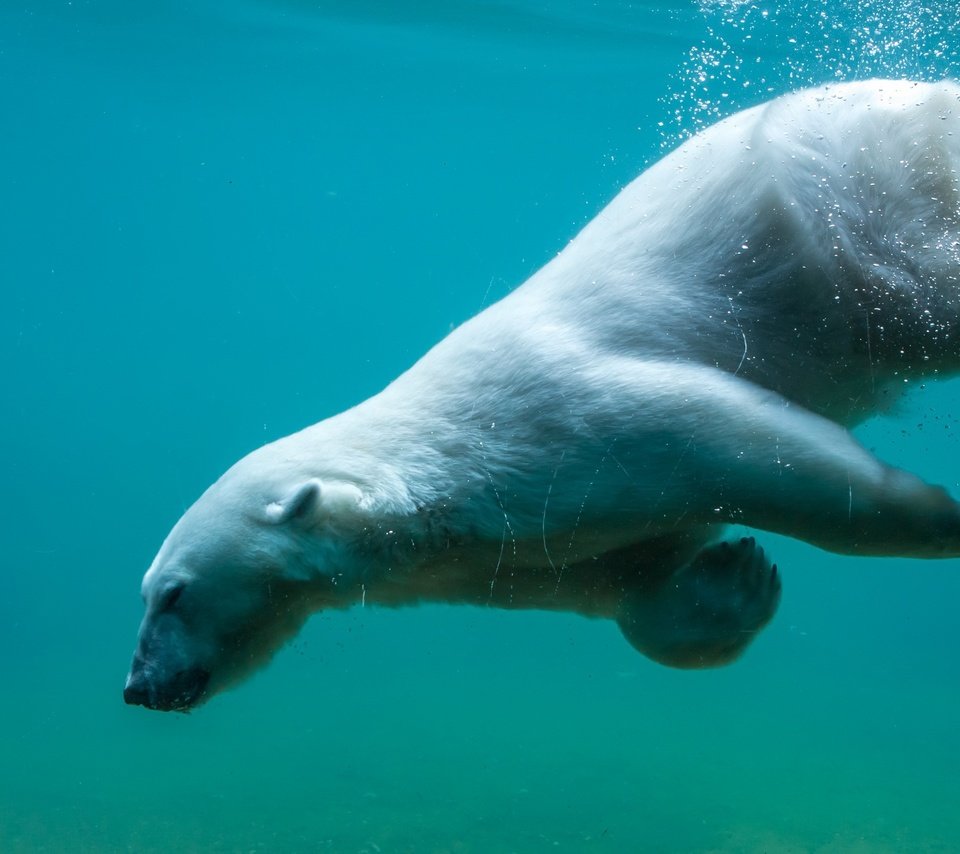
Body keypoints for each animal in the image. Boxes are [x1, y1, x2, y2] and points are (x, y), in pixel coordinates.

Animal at [124, 80, 960, 712]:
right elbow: (636, 588)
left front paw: (935, 517)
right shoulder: (528, 557)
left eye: (173, 593)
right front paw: (739, 579)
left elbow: (754, 447)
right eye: (146, 595)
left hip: (863, 212)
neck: (434, 464)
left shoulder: (567, 420)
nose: (138, 688)